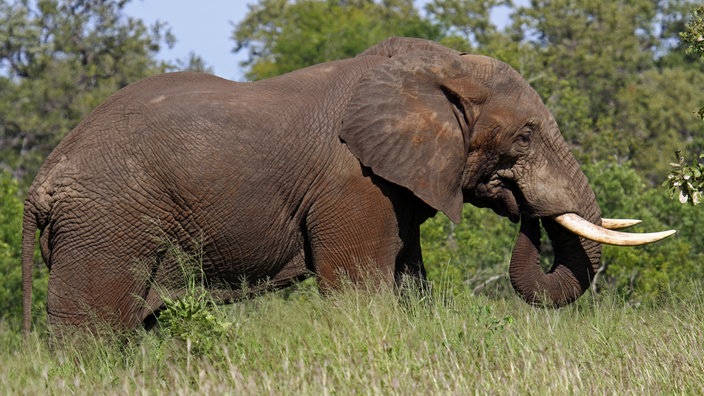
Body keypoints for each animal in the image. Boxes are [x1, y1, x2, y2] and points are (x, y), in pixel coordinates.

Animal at [19, 38, 672, 334]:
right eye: (527, 136)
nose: (526, 210)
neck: (437, 68)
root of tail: (41, 181)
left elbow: (408, 280)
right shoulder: (353, 183)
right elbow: (359, 287)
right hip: (106, 223)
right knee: (93, 331)